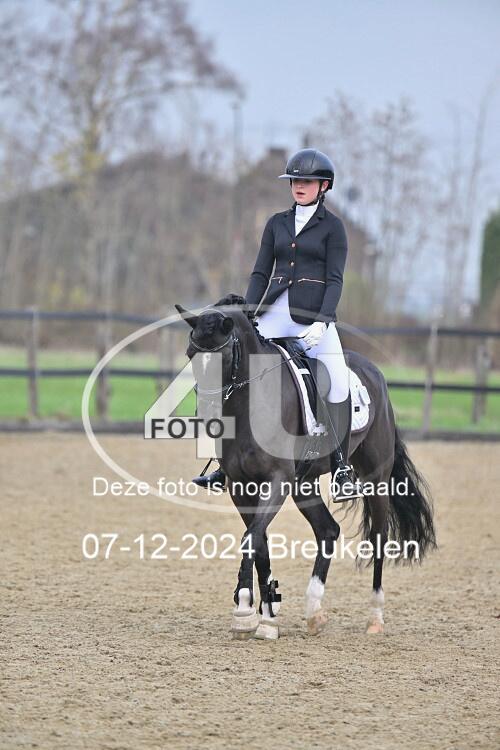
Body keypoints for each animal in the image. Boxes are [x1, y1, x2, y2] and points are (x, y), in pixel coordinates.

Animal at [175, 294, 436, 640]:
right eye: (191, 355)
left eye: (224, 357)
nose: (207, 413)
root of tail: (375, 373)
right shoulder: (242, 486)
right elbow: (258, 541)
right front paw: (265, 616)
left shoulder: (277, 480)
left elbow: (250, 538)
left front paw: (244, 612)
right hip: (304, 484)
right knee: (328, 529)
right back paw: (314, 611)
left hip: (375, 479)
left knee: (378, 538)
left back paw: (375, 618)